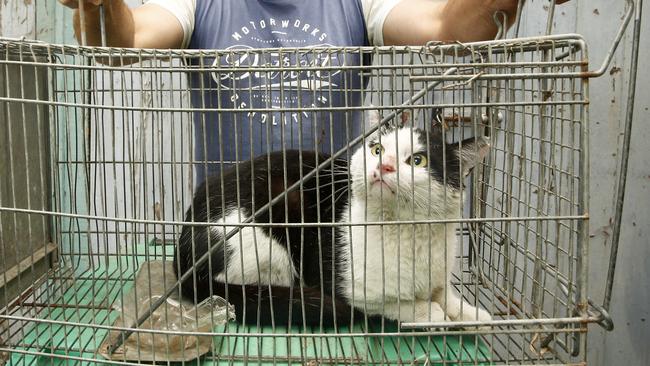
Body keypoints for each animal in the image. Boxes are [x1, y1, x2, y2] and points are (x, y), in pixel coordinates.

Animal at [175, 111, 488, 326]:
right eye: (377, 149)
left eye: (418, 160)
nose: (384, 166)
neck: (411, 232)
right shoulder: (353, 288)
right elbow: (396, 303)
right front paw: (429, 312)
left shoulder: (438, 275)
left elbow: (447, 295)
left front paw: (473, 314)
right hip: (267, 246)